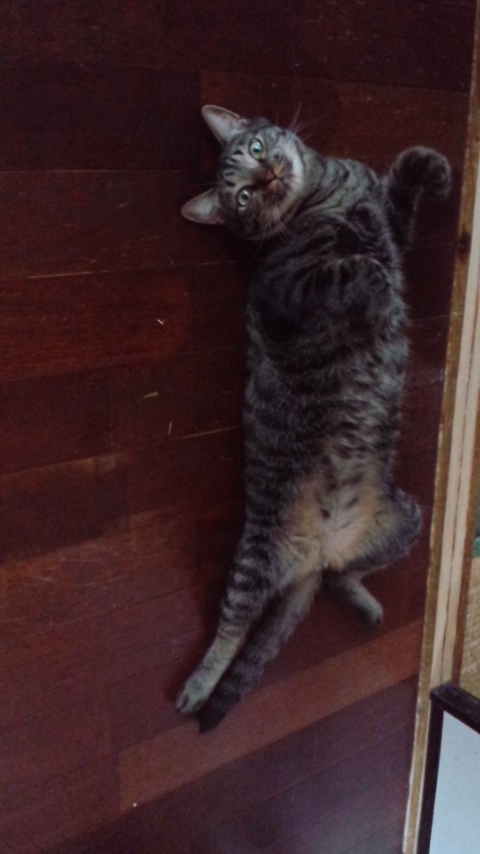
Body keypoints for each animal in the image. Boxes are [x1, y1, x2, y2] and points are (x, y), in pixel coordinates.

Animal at [176, 104, 452, 731]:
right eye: (243, 197)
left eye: (256, 149)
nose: (271, 175)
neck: (323, 188)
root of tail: (316, 551)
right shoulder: (284, 287)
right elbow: (342, 272)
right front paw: (370, 277)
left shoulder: (392, 220)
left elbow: (401, 179)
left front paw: (434, 165)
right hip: (256, 555)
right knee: (232, 627)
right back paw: (197, 689)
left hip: (408, 519)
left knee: (341, 577)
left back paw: (365, 603)